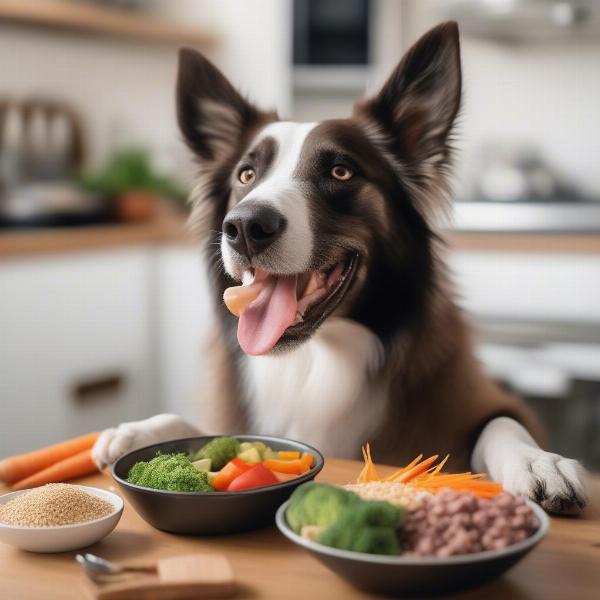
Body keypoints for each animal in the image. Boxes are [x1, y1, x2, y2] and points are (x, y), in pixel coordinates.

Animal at [94, 21, 584, 512]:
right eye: (246, 176)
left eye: (340, 172)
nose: (246, 226)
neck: (319, 358)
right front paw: (139, 430)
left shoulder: (479, 398)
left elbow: (501, 422)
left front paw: (538, 462)